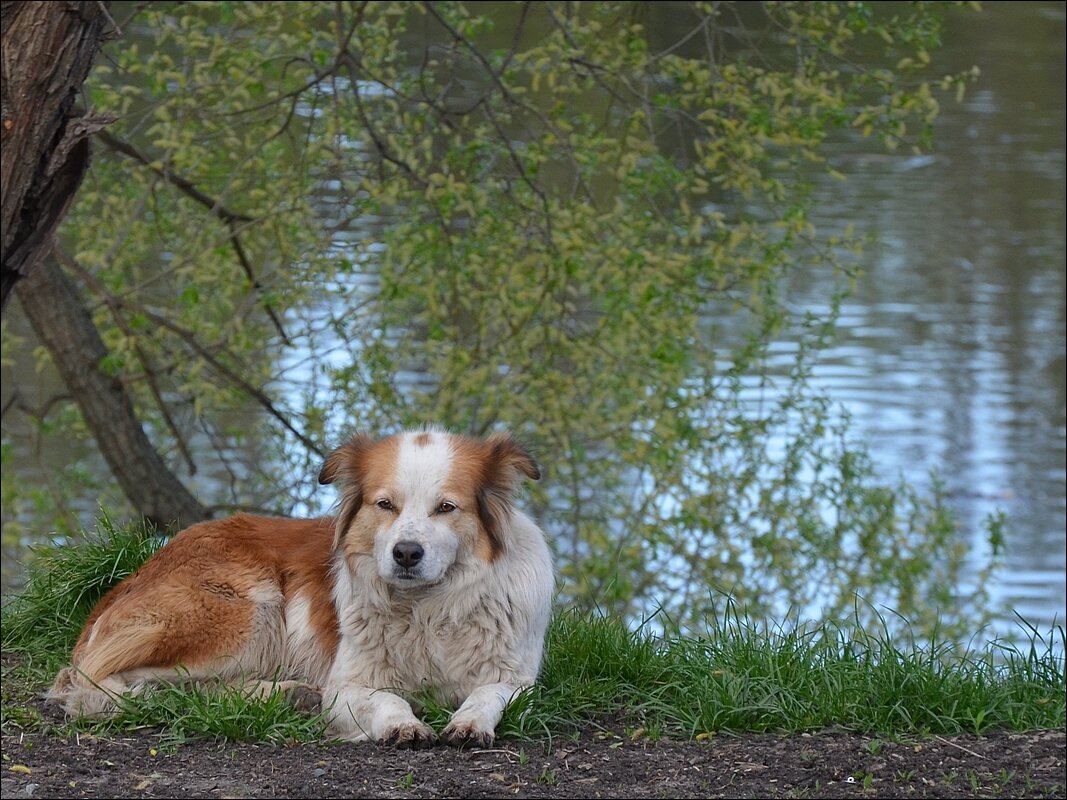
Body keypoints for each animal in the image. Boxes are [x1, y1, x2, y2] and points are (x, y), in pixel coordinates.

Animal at [46, 428, 554, 750]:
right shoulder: (347, 686)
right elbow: (385, 698)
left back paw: (288, 694)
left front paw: (469, 722)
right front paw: (401, 725)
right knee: (106, 682)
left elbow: (487, 695)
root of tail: (145, 566)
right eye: (384, 505)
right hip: (247, 612)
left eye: (446, 507)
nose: (406, 554)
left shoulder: (518, 678)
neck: (428, 607)